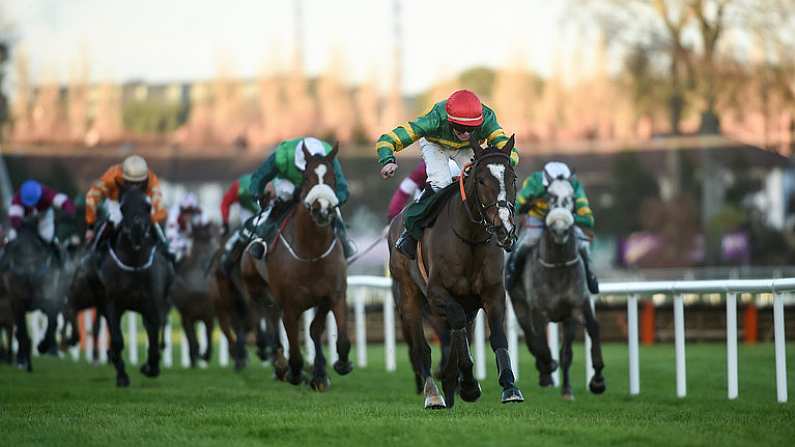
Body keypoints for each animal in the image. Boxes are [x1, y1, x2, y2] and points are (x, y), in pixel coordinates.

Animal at [241, 144, 352, 392]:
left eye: (332, 178)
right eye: (308, 177)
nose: (323, 210)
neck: (311, 252)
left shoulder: (333, 294)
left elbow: (330, 335)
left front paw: (330, 369)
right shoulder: (290, 305)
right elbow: (294, 347)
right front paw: (295, 371)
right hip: (256, 286)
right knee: (267, 314)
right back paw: (279, 361)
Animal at [388, 136, 524, 410]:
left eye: (512, 178)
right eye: (481, 179)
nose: (504, 228)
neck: (470, 238)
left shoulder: (493, 292)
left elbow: (497, 336)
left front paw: (508, 385)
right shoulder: (437, 292)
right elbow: (456, 327)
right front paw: (468, 383)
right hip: (407, 295)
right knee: (421, 348)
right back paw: (433, 394)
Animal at [510, 178, 604, 402]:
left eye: (572, 198)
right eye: (549, 197)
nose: (560, 229)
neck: (558, 267)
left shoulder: (576, 307)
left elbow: (588, 333)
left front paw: (592, 382)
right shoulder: (538, 311)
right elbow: (541, 343)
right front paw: (547, 368)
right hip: (519, 305)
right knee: (531, 337)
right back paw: (545, 371)